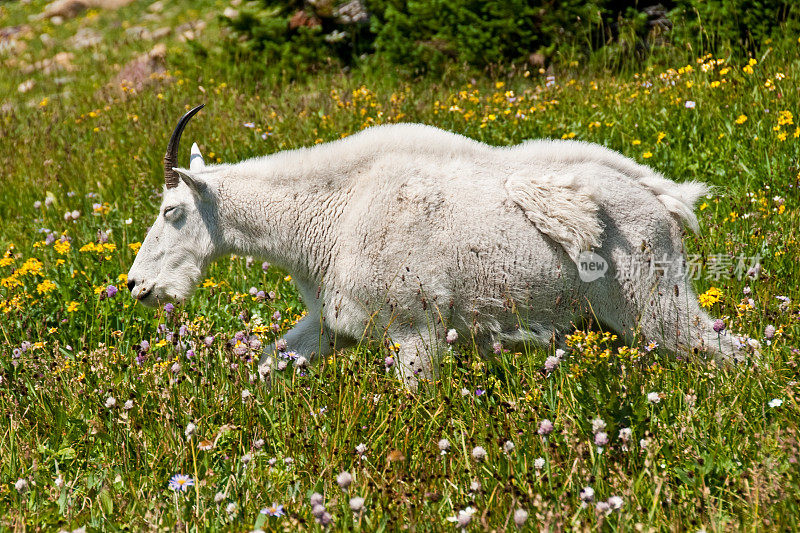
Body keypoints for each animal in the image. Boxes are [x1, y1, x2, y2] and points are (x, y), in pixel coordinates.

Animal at [126, 105, 744, 386]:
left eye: (171, 211)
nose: (137, 286)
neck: (333, 213)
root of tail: (664, 201)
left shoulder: (414, 328)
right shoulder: (332, 322)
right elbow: (271, 363)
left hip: (653, 299)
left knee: (730, 350)